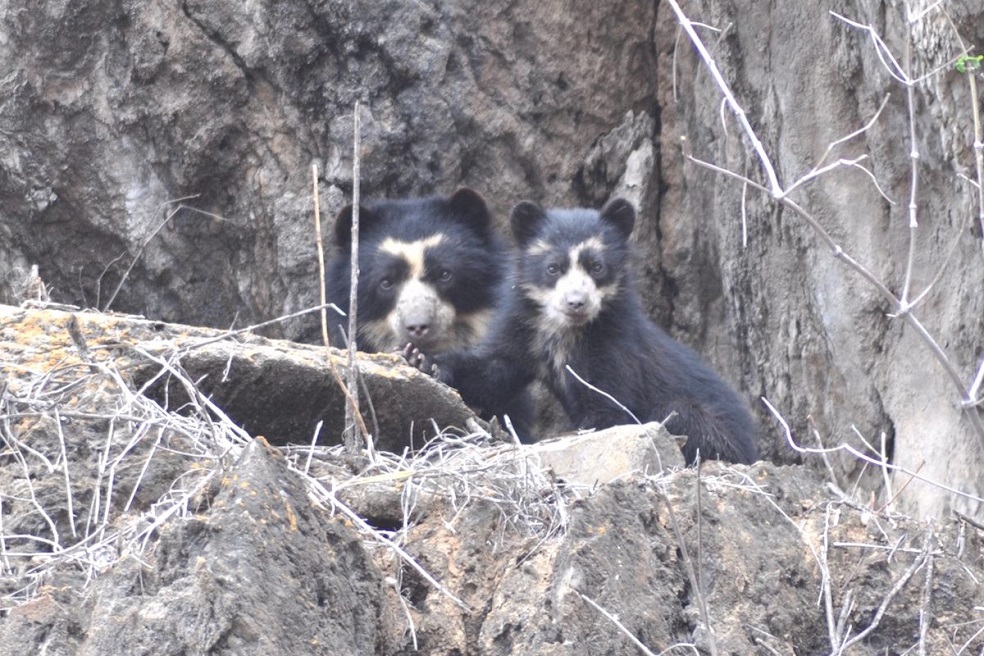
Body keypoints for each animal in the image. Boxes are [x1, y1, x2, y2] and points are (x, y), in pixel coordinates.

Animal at [406, 197, 759, 464]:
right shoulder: (524, 330)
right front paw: (420, 360)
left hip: (714, 431)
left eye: (597, 267)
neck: (565, 331)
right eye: (553, 268)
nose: (576, 302)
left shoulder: (614, 346)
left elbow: (609, 406)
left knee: (681, 414)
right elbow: (492, 370)